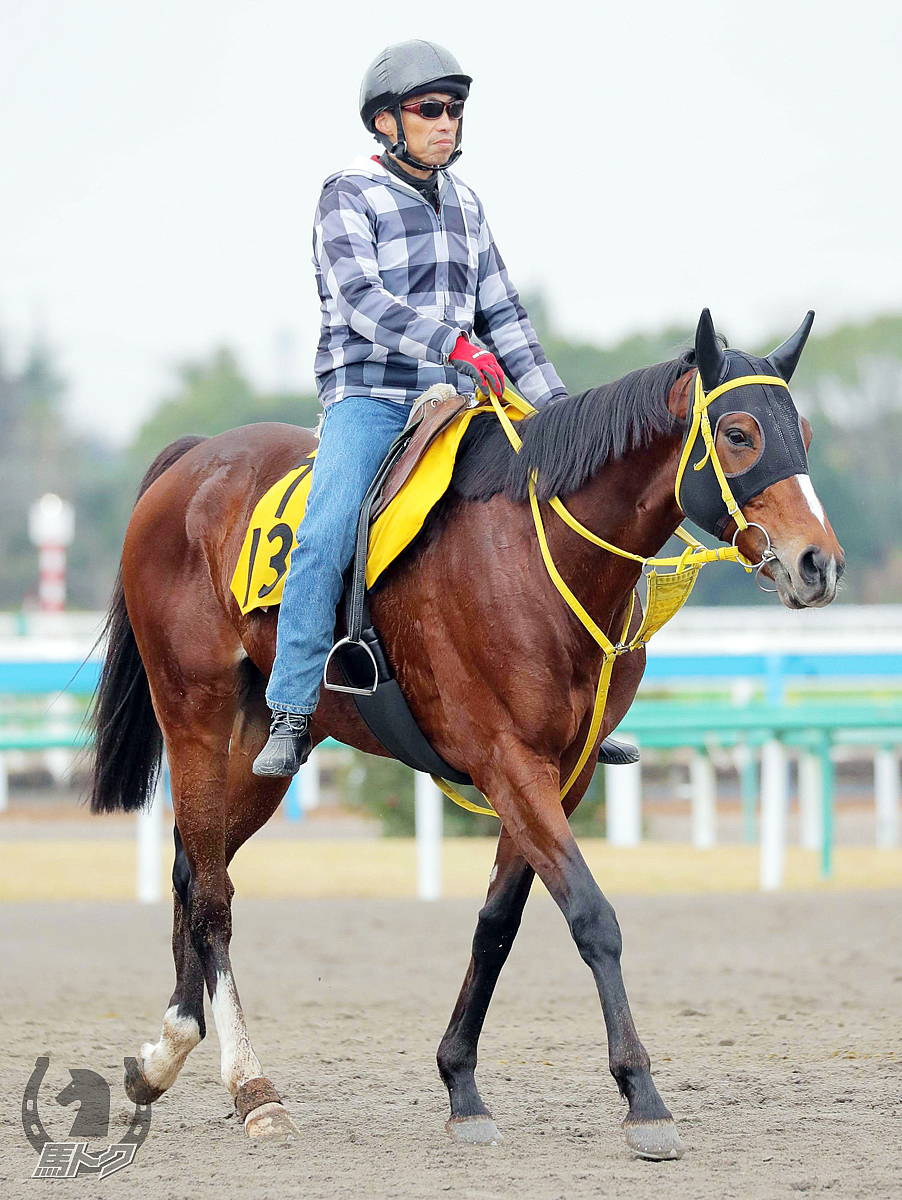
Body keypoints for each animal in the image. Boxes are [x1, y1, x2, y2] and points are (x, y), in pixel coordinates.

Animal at [88, 314, 844, 1156]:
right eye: (740, 433)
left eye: (803, 432)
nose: (818, 563)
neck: (537, 559)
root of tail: (191, 462)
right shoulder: (507, 761)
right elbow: (592, 918)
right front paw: (643, 1096)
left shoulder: (562, 771)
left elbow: (498, 925)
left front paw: (461, 1084)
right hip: (195, 714)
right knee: (214, 894)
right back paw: (253, 1088)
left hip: (264, 753)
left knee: (195, 868)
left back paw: (165, 1053)